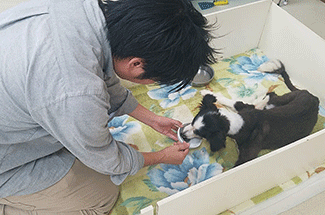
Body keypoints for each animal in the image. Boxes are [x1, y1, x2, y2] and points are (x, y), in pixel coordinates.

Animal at [181, 60, 318, 166]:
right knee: (271, 95)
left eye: (198, 132)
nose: (182, 134)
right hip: (283, 99)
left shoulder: (247, 157)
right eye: (192, 122)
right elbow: (233, 102)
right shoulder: (244, 107)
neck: (237, 122)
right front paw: (208, 93)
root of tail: (314, 98)